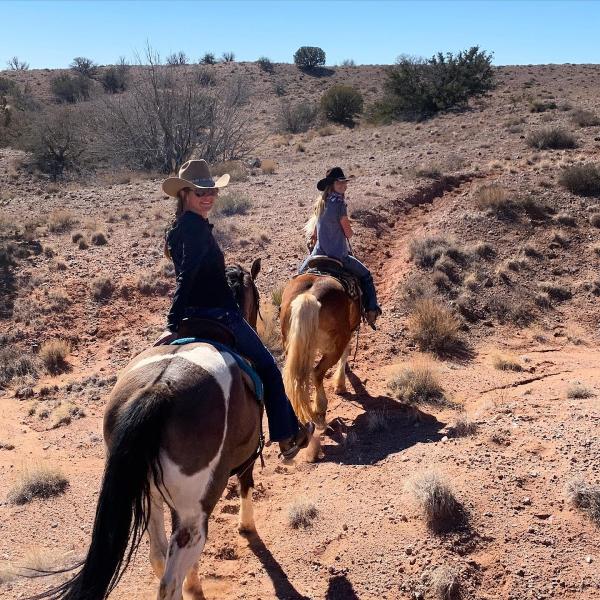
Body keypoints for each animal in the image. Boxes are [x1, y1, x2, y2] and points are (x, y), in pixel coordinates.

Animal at [35, 260, 262, 596]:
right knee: (169, 582)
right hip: (193, 515)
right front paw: (247, 526)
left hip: (151, 495)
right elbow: (247, 485)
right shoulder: (246, 459)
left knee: (158, 556)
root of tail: (158, 390)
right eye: (257, 299)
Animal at [278, 268, 358, 460]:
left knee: (294, 381)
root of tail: (310, 296)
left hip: (292, 344)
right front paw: (340, 385)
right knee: (317, 373)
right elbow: (346, 354)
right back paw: (320, 415)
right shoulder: (348, 333)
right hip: (336, 343)